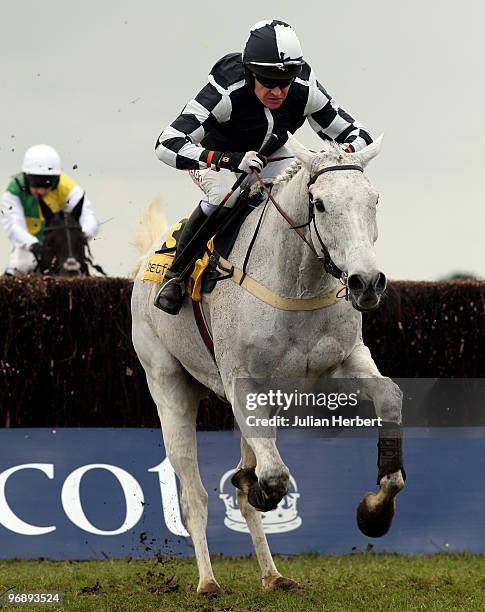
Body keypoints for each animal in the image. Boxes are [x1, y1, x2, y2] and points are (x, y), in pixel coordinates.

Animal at [131, 135, 404, 596]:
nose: (366, 282)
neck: (296, 282)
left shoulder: (344, 361)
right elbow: (271, 475)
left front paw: (375, 511)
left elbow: (390, 398)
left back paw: (273, 575)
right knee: (193, 495)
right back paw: (208, 581)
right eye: (320, 204)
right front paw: (258, 488)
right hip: (168, 383)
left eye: (374, 200)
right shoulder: (241, 381)